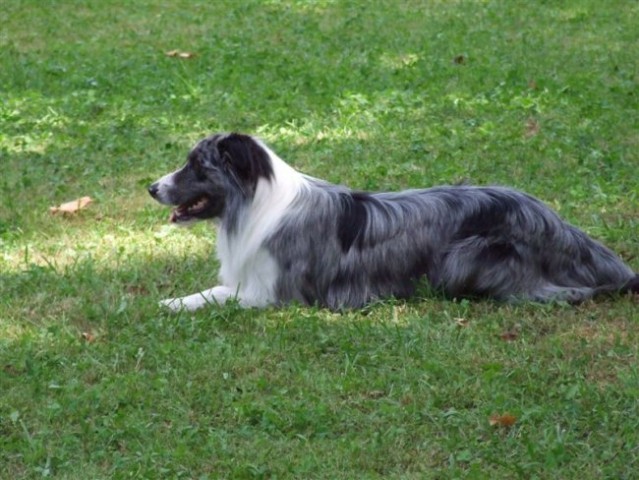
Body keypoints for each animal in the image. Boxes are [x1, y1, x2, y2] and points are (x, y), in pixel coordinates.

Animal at [150, 132, 639, 312]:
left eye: (197, 166)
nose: (152, 188)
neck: (252, 204)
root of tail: (559, 225)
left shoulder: (270, 293)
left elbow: (212, 295)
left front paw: (170, 303)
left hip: (466, 256)